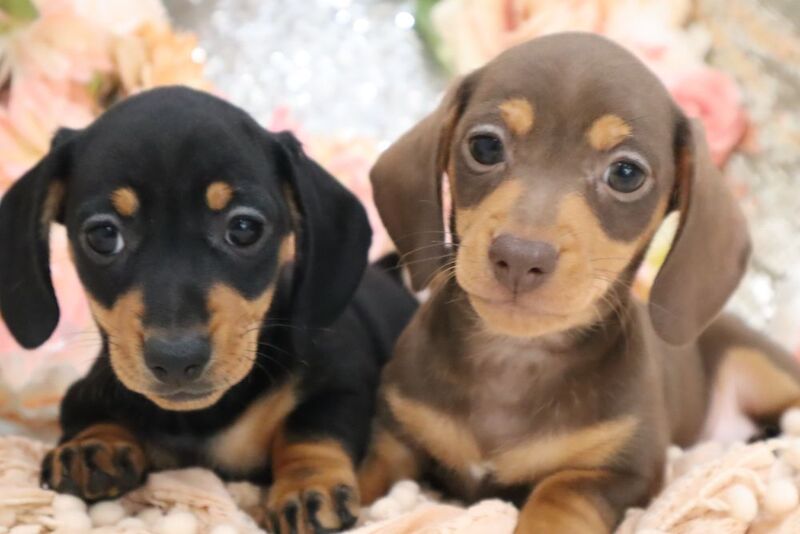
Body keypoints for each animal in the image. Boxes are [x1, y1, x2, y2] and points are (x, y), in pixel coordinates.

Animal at [0, 86, 416, 532]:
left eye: (244, 228)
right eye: (103, 234)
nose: (176, 359)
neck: (201, 416)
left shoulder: (344, 381)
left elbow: (312, 427)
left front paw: (307, 485)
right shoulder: (93, 383)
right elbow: (83, 409)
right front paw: (93, 445)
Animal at [360, 33, 800, 534]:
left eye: (626, 174)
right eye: (485, 146)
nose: (520, 257)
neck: (514, 359)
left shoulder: (622, 471)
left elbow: (559, 493)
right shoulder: (395, 438)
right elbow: (362, 481)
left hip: (761, 366)